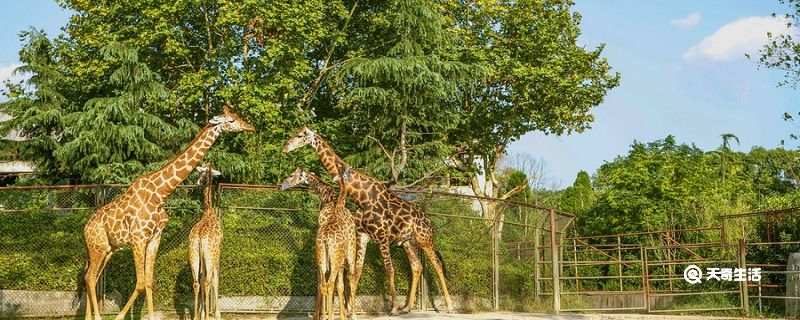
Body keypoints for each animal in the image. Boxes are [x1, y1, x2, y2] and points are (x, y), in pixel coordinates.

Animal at [82, 106, 252, 320]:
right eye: (231, 120)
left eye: (237, 117)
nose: (250, 127)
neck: (160, 193)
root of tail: (85, 229)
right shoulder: (138, 238)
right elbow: (140, 283)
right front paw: (119, 317)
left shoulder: (155, 237)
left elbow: (148, 281)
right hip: (98, 247)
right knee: (90, 277)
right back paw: (96, 316)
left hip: (107, 249)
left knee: (91, 277)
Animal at [280, 166, 358, 320]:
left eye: (292, 175)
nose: (280, 185)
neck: (331, 200)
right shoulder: (344, 255)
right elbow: (340, 285)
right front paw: (337, 314)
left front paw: (329, 314)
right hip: (337, 257)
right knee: (335, 282)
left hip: (328, 257)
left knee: (327, 284)